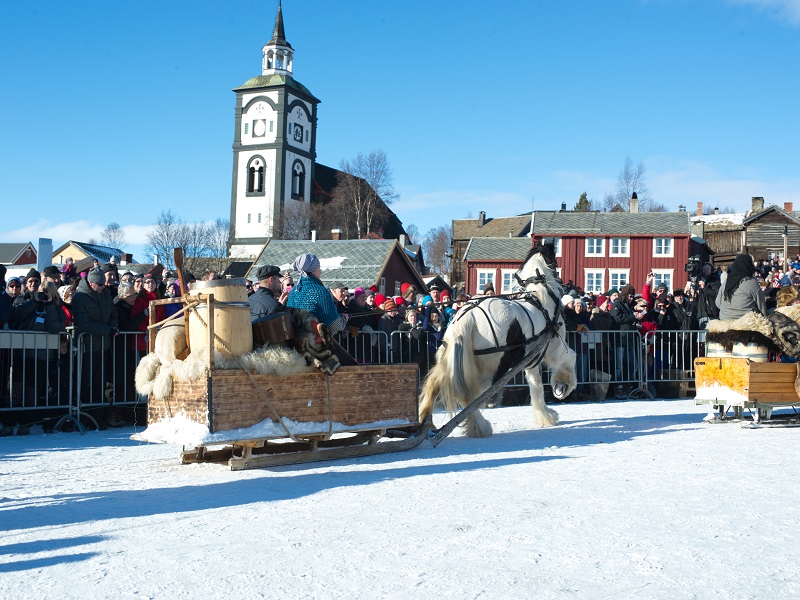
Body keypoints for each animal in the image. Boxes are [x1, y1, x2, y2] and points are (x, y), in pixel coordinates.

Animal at [418, 241, 576, 438]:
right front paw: (562, 385)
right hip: (490, 369)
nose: (565, 283)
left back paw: (424, 419)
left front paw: (545, 416)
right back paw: (480, 427)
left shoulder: (531, 360)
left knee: (434, 383)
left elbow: (536, 385)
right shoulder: (555, 348)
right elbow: (571, 357)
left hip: (451, 361)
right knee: (470, 397)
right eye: (554, 261)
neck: (541, 297)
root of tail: (466, 317)